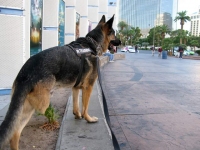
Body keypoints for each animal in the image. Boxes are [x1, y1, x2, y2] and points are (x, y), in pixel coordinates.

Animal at [0, 14, 115, 149]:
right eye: (114, 34)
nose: (121, 42)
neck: (92, 43)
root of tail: (26, 71)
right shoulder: (89, 87)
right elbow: (85, 107)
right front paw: (88, 118)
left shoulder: (76, 87)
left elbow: (76, 104)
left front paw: (77, 115)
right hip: (38, 104)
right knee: (17, 127)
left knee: (15, 132)